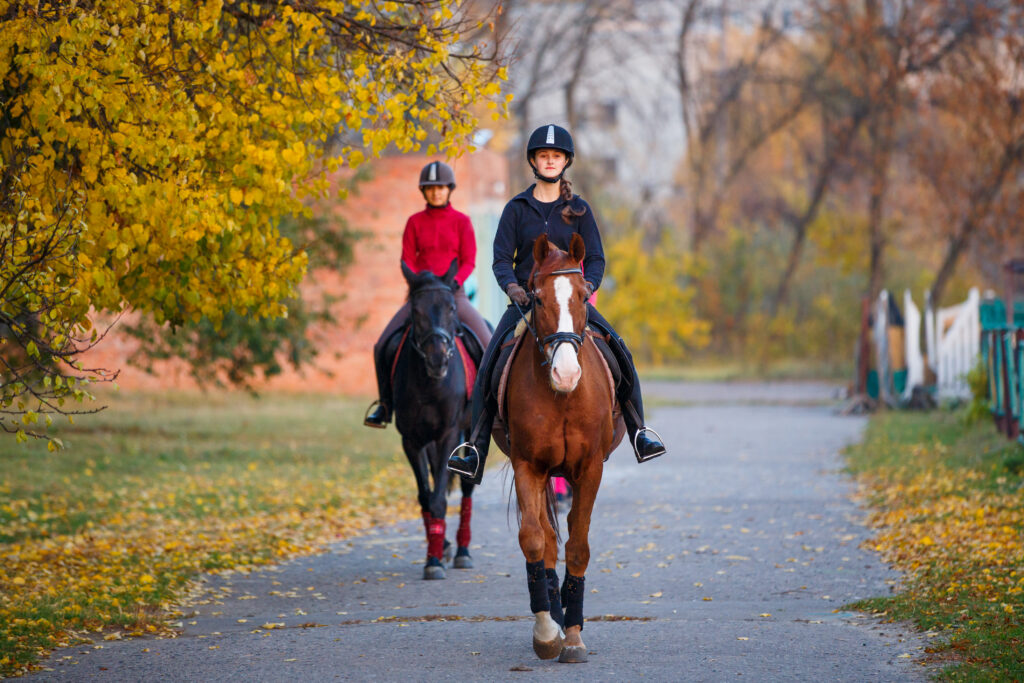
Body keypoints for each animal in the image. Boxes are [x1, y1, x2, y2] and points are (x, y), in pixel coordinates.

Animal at [391, 259, 475, 581]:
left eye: (451, 307)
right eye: (416, 310)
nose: (438, 359)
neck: (430, 383)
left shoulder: (448, 435)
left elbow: (439, 497)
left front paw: (436, 560)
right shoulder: (412, 441)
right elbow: (426, 497)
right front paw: (434, 552)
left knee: (466, 488)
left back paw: (463, 551)